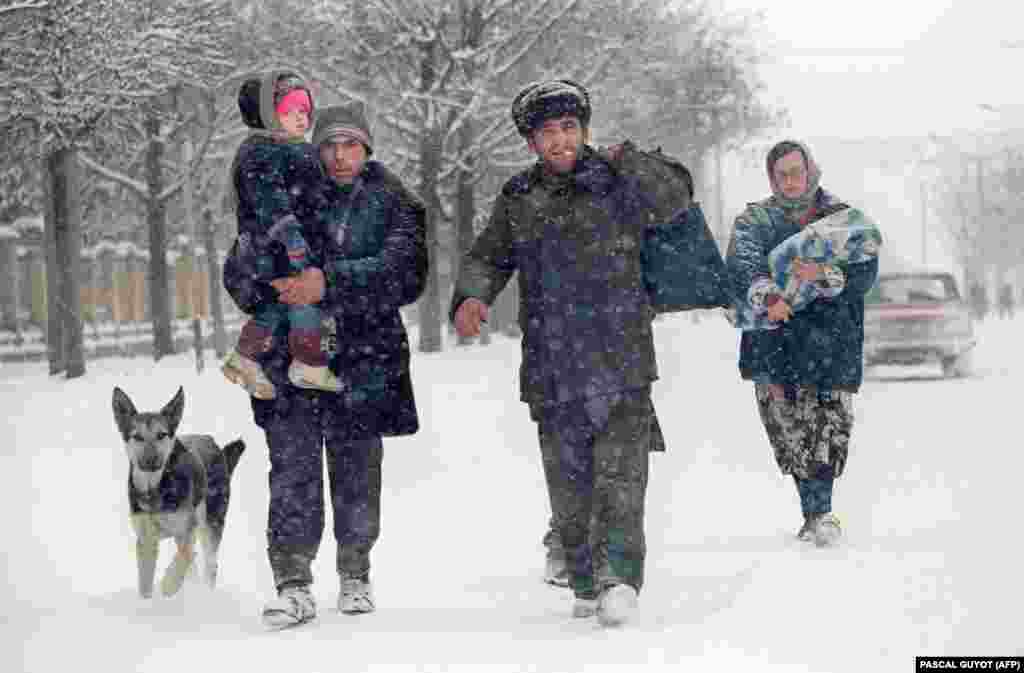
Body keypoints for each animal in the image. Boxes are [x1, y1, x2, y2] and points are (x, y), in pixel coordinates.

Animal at [112, 385, 245, 594]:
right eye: (137, 437)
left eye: (161, 435)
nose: (150, 461)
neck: (155, 488)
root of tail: (214, 444)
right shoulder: (146, 540)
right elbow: (145, 583)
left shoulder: (186, 530)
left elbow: (184, 557)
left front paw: (169, 585)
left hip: (210, 523)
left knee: (209, 563)